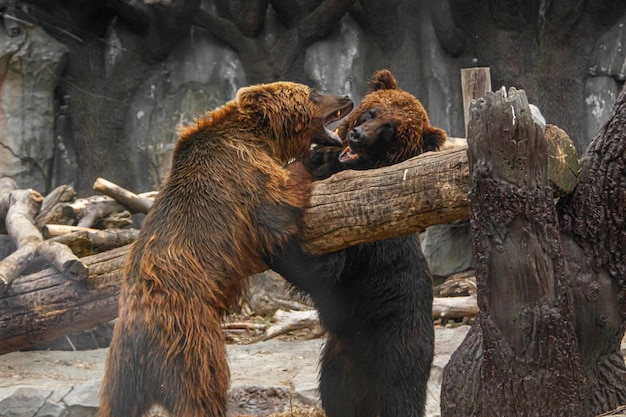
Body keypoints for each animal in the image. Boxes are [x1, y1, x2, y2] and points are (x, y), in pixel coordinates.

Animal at [97, 81, 352, 416]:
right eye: (313, 92)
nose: (346, 96)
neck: (262, 136)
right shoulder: (242, 170)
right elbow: (278, 204)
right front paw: (315, 160)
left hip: (120, 370)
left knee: (115, 403)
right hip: (190, 339)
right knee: (202, 388)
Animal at [268, 69, 444, 416]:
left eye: (390, 130)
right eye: (372, 111)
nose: (357, 135)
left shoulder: (359, 228)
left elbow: (322, 268)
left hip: (398, 339)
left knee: (400, 395)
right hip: (338, 360)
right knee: (337, 396)